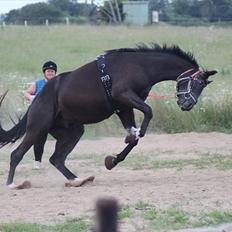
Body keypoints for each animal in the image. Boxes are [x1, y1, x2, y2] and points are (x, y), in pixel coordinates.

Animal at [0, 44, 218, 188]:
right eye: (197, 83)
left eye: (202, 86)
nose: (187, 104)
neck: (140, 65)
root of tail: (39, 97)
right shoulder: (123, 96)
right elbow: (148, 113)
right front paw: (130, 139)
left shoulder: (124, 107)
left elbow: (134, 138)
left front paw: (113, 160)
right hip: (38, 127)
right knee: (16, 154)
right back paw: (12, 184)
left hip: (72, 132)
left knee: (57, 159)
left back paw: (77, 180)